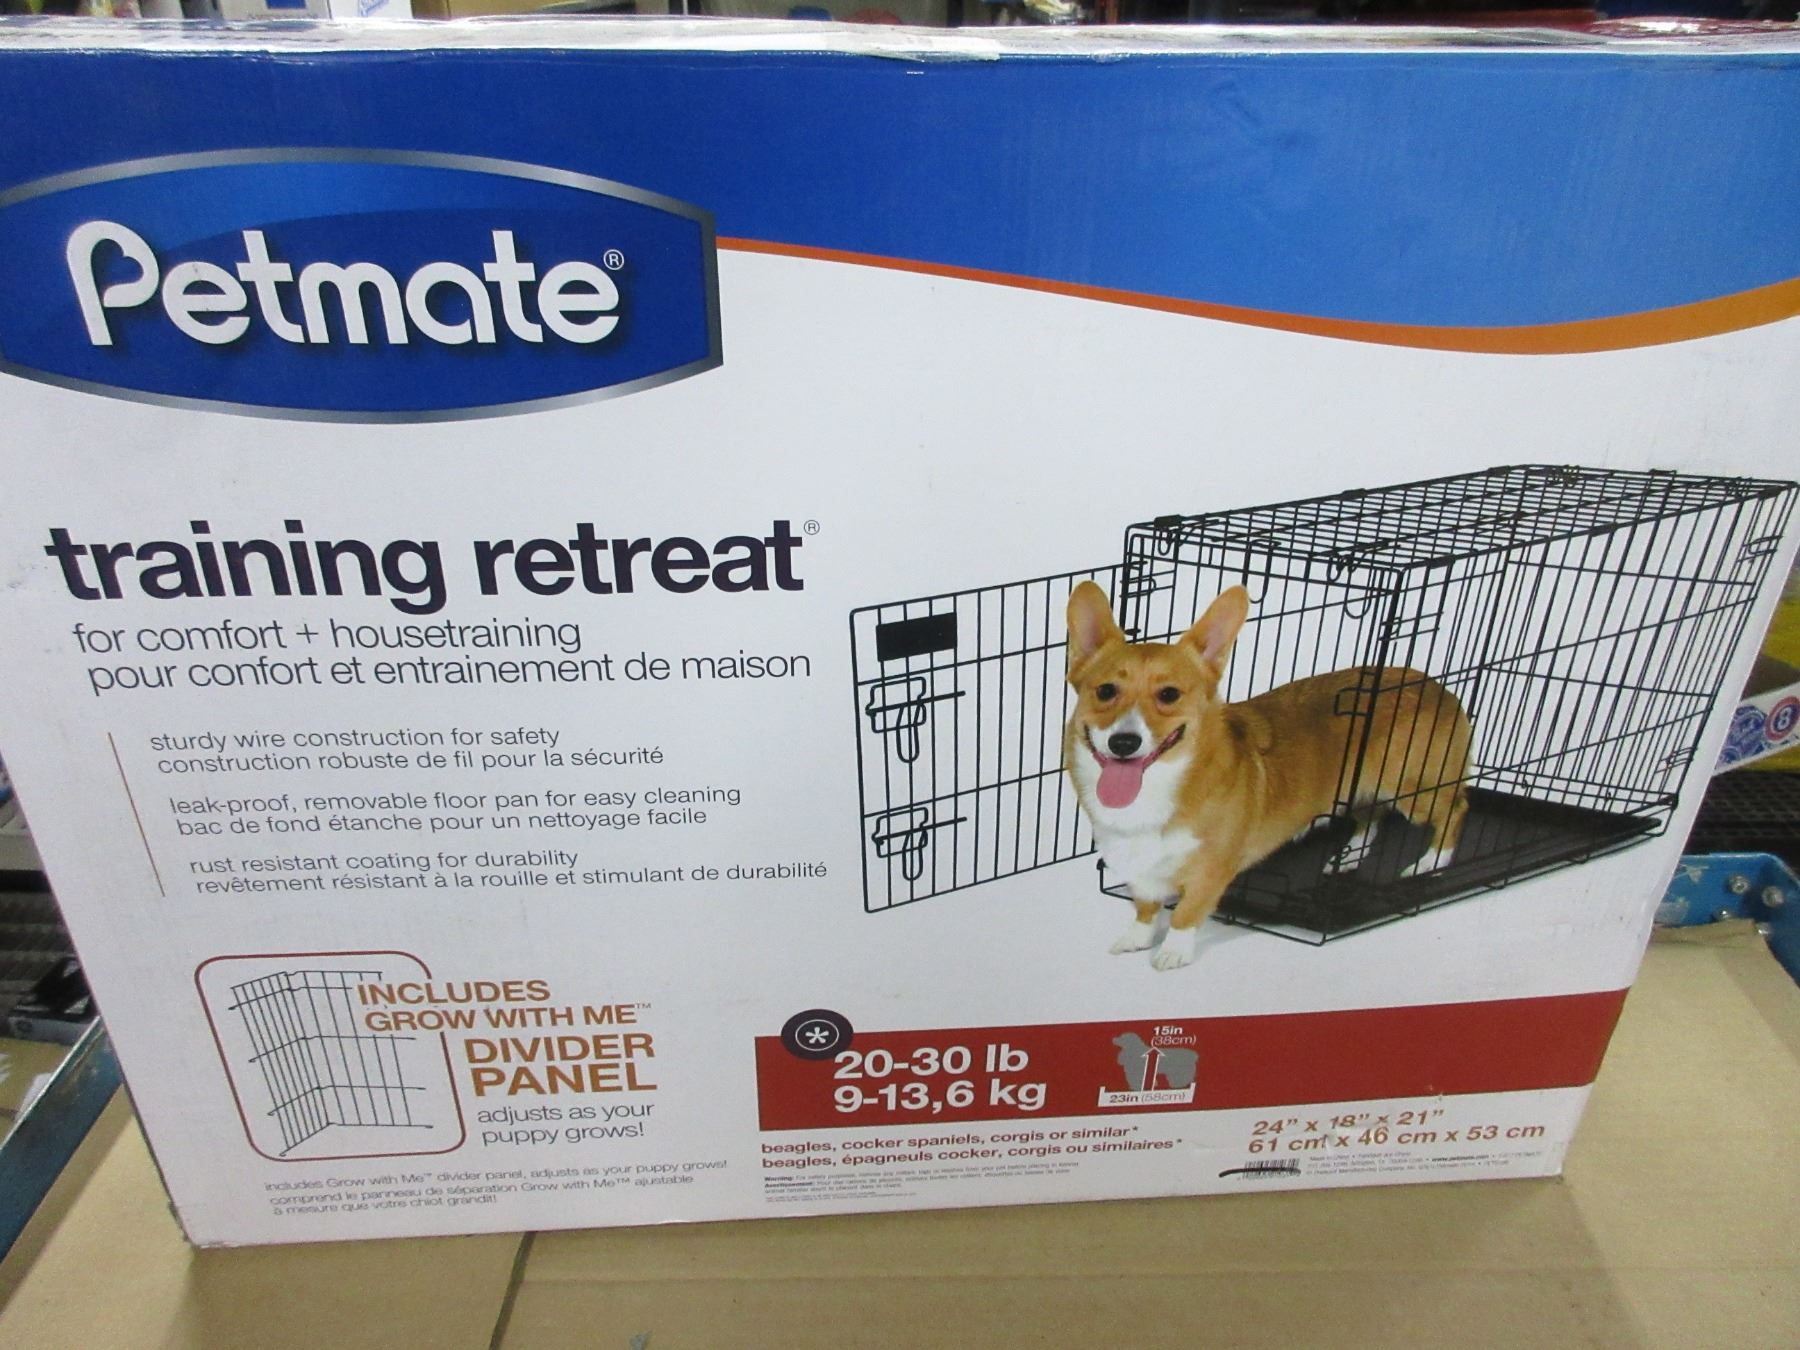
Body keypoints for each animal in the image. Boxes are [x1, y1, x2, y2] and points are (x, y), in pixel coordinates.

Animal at [1065, 581, 1472, 971]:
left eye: (1168, 694)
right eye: (1106, 691)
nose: (1123, 742)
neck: (1159, 786)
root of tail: (1437, 686)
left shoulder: (1211, 869)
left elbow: (1186, 912)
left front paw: (1173, 952)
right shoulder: (1140, 869)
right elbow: (1146, 906)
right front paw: (1137, 937)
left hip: (1413, 788)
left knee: (1456, 808)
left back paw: (1432, 861)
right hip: (1363, 785)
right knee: (1371, 815)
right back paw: (1349, 857)